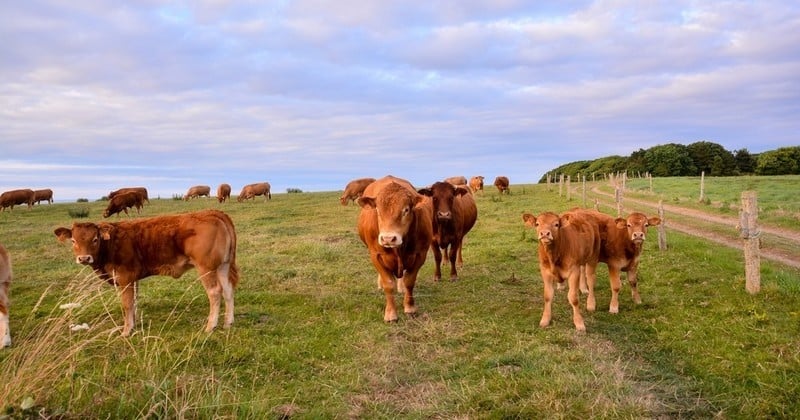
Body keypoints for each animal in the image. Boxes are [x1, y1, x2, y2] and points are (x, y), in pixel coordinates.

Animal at [54, 210, 238, 338]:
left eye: (95, 239)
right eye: (73, 241)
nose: (84, 258)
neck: (111, 244)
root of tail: (212, 212)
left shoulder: (125, 278)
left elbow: (127, 304)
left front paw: (126, 332)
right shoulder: (133, 279)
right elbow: (134, 302)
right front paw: (133, 325)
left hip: (205, 268)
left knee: (215, 292)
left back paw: (210, 326)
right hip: (223, 266)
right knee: (228, 290)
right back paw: (228, 323)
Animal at [356, 174, 432, 322]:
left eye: (406, 210)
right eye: (378, 210)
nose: (388, 238)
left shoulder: (420, 254)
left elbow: (409, 281)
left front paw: (409, 307)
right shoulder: (376, 255)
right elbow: (388, 284)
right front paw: (391, 314)